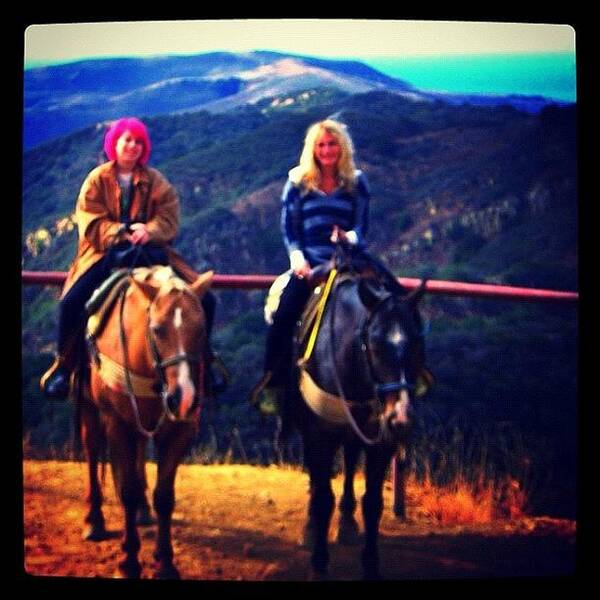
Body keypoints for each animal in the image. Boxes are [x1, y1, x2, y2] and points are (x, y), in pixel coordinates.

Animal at [75, 264, 212, 580]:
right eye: (157, 329)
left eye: (201, 328)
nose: (184, 397)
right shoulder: (117, 424)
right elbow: (126, 490)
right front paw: (129, 561)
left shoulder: (180, 430)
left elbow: (165, 496)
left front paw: (166, 562)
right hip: (90, 406)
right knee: (91, 451)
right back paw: (94, 520)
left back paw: (143, 511)